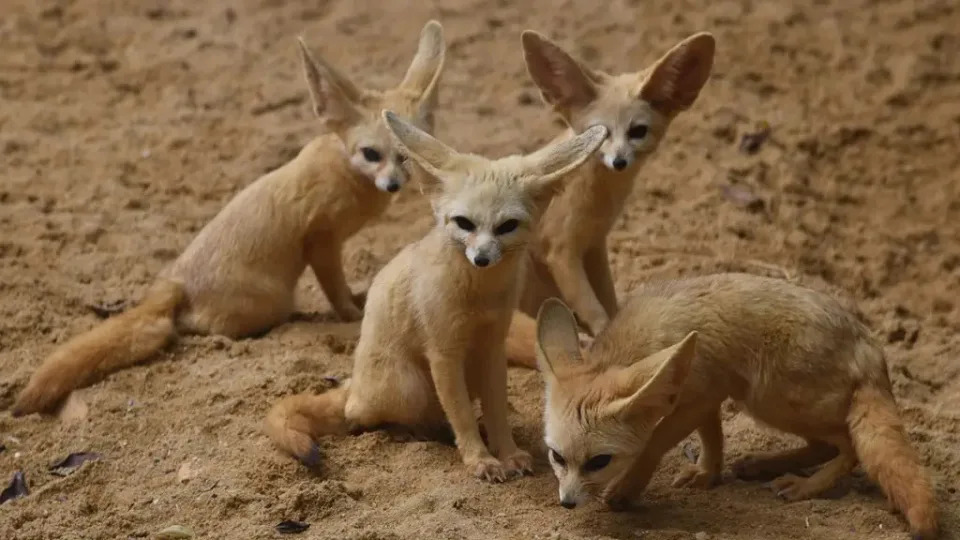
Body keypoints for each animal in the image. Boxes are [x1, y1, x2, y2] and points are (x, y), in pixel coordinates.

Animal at [12, 21, 446, 418]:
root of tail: (174, 280)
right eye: (371, 154)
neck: (346, 171)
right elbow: (336, 290)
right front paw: (351, 315)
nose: (392, 184)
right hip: (272, 302)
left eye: (405, 157)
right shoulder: (320, 240)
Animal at [264, 113, 608, 480]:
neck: (479, 295)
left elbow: (496, 411)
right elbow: (462, 415)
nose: (482, 258)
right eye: (464, 223)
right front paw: (480, 460)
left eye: (507, 226)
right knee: (360, 418)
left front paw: (508, 453)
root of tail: (354, 386)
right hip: (410, 386)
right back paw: (408, 432)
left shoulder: (492, 346)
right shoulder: (443, 353)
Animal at [516, 31, 712, 340]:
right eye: (600, 132)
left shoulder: (595, 245)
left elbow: (610, 302)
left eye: (638, 131)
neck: (598, 201)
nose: (619, 161)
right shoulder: (560, 251)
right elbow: (595, 310)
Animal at [536, 276, 940, 536]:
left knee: (848, 446)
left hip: (771, 400)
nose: (567, 503)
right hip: (767, 401)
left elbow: (653, 444)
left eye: (599, 462)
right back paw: (763, 465)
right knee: (826, 445)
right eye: (556, 457)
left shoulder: (698, 395)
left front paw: (626, 489)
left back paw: (805, 486)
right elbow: (713, 437)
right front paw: (708, 474)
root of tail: (869, 344)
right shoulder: (708, 393)